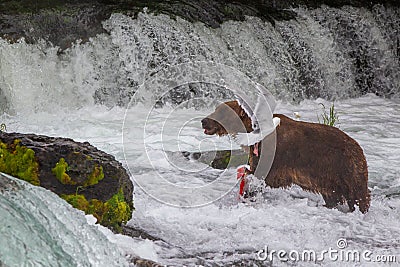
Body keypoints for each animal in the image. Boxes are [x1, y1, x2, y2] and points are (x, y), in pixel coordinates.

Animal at [202, 101, 370, 215]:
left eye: (221, 111)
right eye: (216, 109)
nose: (204, 120)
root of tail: (358, 146)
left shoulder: (273, 155)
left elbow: (259, 175)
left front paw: (247, 193)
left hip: (345, 167)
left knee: (358, 193)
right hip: (328, 176)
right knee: (332, 194)